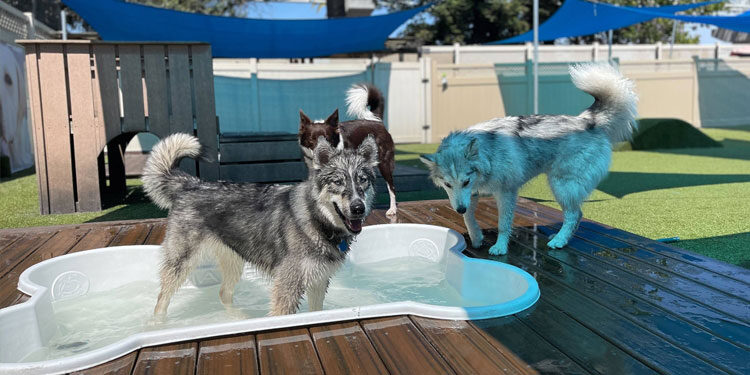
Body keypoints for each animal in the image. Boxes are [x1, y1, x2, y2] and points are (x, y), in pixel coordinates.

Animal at [298, 83, 400, 216]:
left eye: (327, 139)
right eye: (312, 139)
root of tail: (377, 122)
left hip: (384, 164)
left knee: (391, 187)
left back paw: (392, 209)